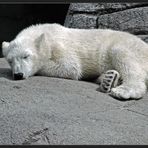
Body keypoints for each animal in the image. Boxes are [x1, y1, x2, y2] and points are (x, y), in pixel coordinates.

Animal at [1, 23, 148, 99]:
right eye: (10, 61)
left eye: (26, 56)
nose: (18, 75)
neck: (45, 34)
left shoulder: (60, 45)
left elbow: (70, 67)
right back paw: (108, 79)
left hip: (131, 48)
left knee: (123, 57)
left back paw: (123, 90)